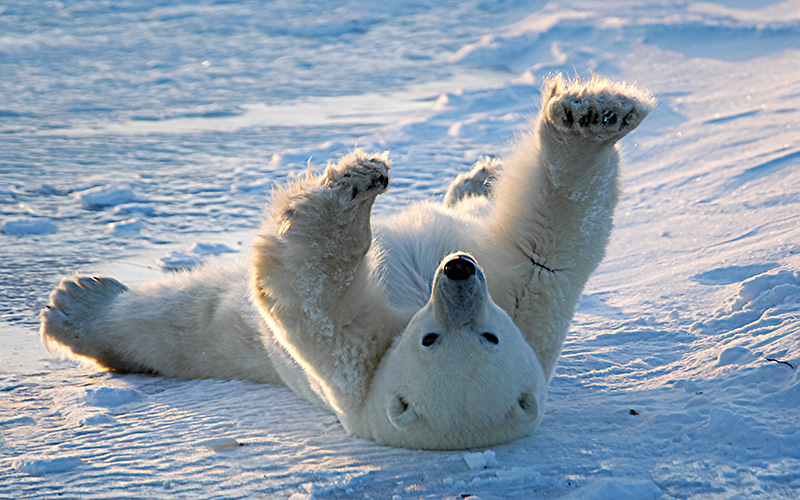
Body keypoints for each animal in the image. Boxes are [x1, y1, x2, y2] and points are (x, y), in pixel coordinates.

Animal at [40, 76, 652, 452]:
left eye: (484, 339)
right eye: (433, 337)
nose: (457, 270)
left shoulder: (359, 364)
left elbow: (311, 290)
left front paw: (346, 195)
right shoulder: (525, 300)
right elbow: (548, 239)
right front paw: (594, 115)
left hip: (233, 339)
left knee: (183, 321)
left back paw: (76, 305)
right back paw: (478, 176)